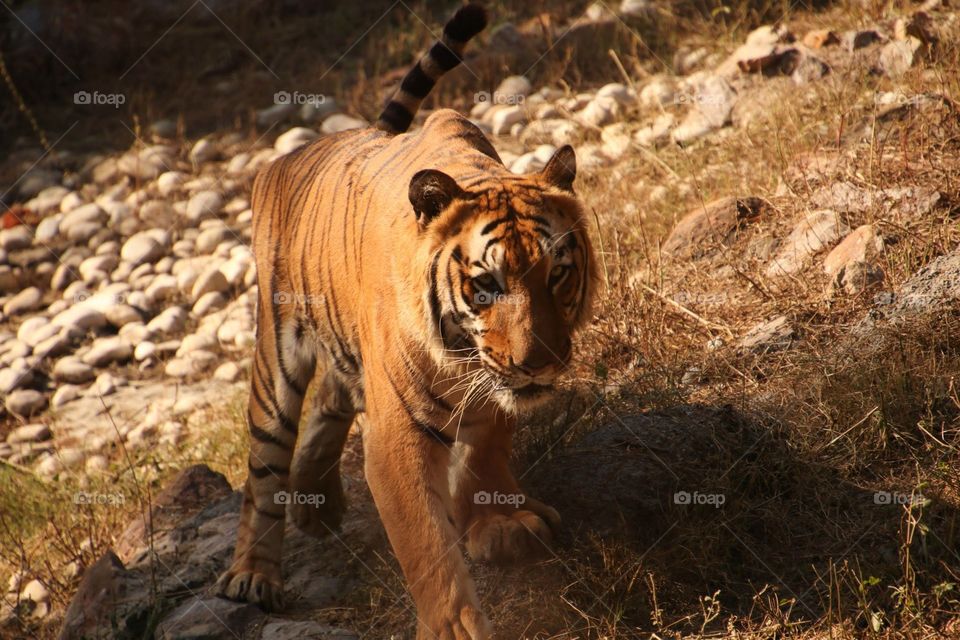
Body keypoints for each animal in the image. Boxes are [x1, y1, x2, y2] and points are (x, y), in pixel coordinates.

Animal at [214, 3, 597, 638]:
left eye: (558, 275)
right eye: (486, 285)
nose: (539, 363)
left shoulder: (494, 385)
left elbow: (485, 450)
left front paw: (501, 525)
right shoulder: (398, 432)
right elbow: (425, 541)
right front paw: (454, 626)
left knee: (332, 397)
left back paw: (316, 501)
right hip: (275, 352)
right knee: (264, 467)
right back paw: (254, 574)